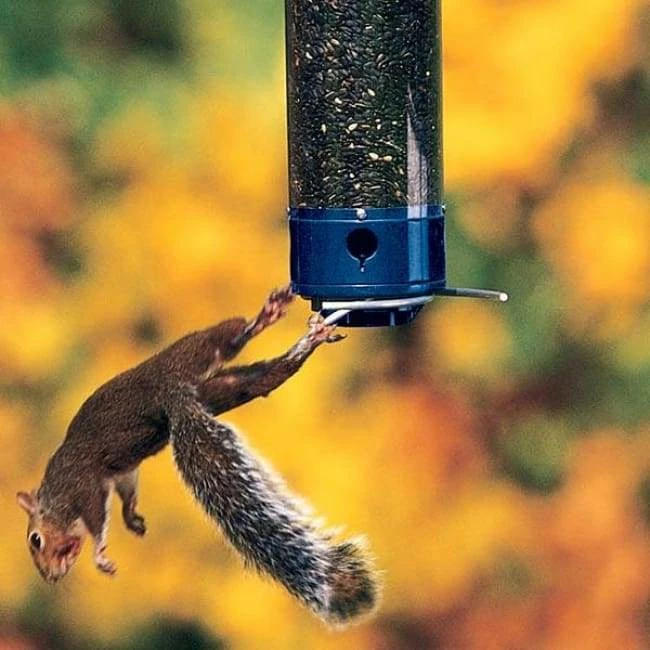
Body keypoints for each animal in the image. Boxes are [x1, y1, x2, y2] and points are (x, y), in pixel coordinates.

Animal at [16, 287, 379, 626]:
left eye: (35, 540)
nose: (50, 577)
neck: (55, 496)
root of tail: (173, 392)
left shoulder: (83, 485)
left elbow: (97, 521)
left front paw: (100, 554)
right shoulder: (121, 472)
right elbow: (128, 490)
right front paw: (132, 518)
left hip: (192, 352)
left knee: (231, 338)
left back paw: (267, 316)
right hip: (222, 389)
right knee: (267, 375)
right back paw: (306, 343)